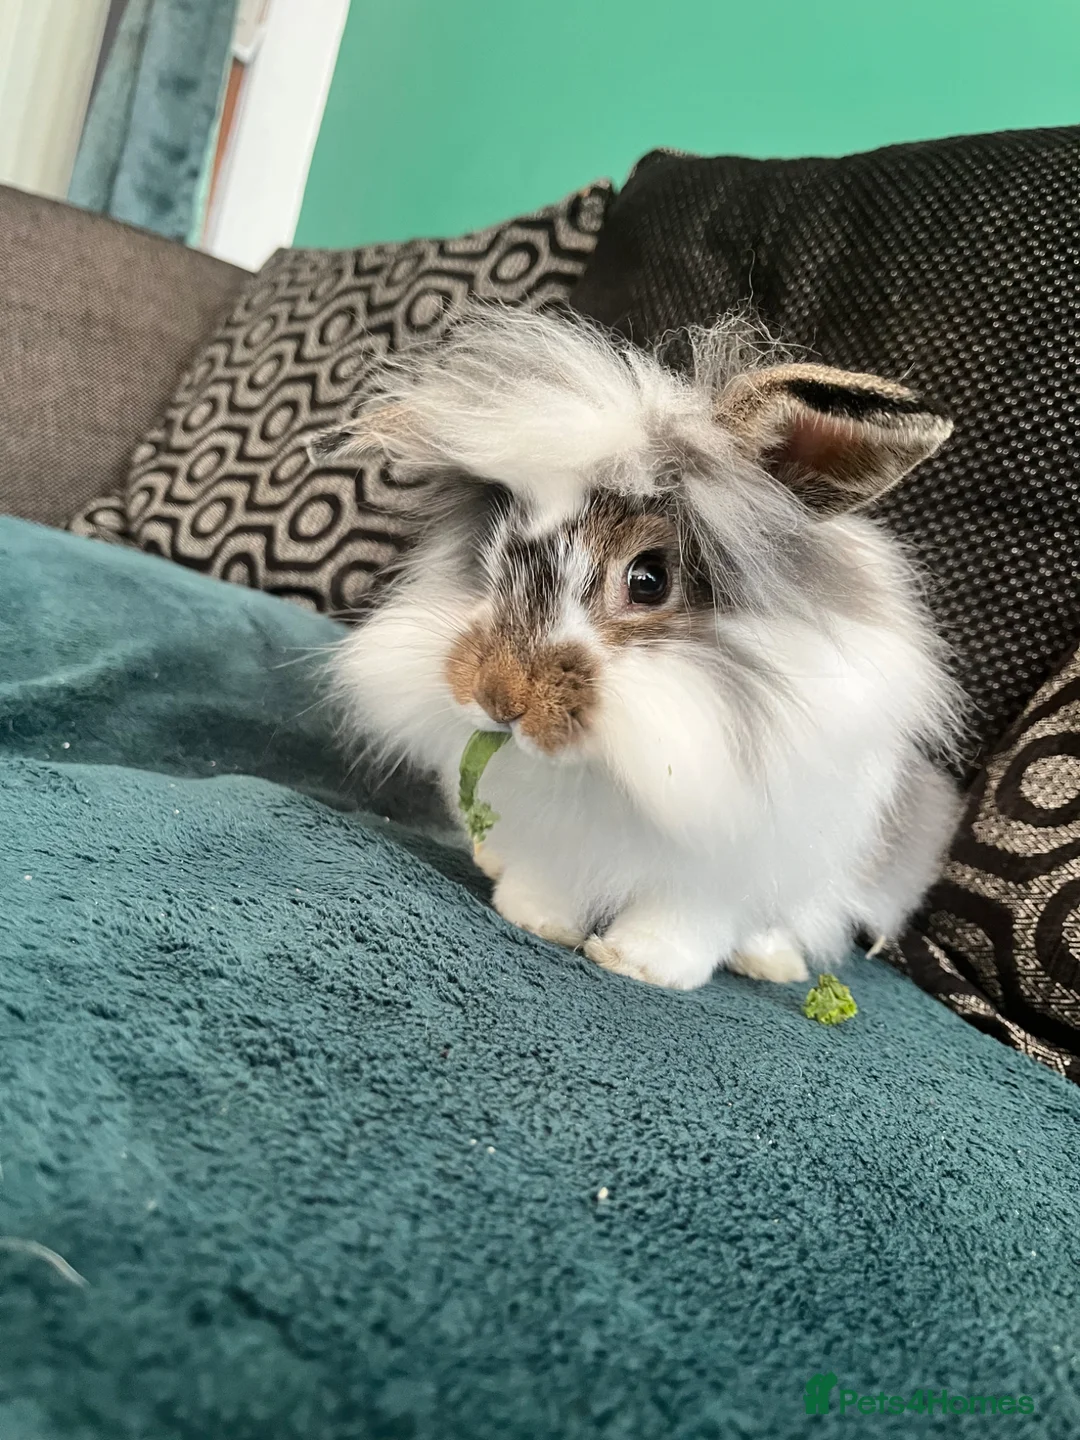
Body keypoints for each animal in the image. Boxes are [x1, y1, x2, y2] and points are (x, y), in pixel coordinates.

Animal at [327, 305, 963, 990]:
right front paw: (534, 917)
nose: (496, 696)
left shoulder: (724, 869)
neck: (606, 770)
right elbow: (553, 882)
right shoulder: (555, 837)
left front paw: (643, 964)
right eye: (494, 544)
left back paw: (772, 963)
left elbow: (684, 921)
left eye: (649, 579)